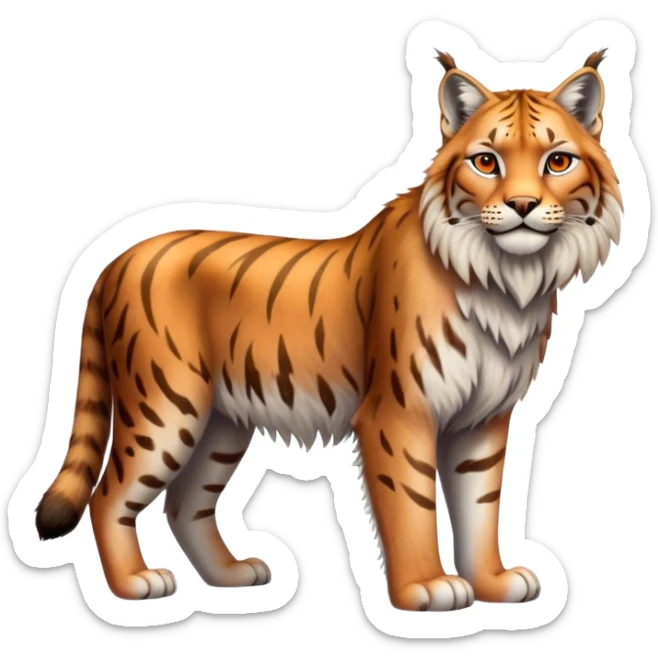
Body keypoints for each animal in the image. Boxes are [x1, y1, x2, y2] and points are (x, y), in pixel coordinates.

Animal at [35, 49, 621, 611]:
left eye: (557, 161)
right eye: (486, 161)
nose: (522, 206)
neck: (507, 279)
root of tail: (115, 257)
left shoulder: (483, 419)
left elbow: (481, 506)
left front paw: (493, 584)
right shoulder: (400, 412)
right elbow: (413, 505)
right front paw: (427, 588)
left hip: (221, 421)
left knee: (186, 502)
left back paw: (233, 575)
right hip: (165, 407)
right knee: (108, 496)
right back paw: (135, 583)